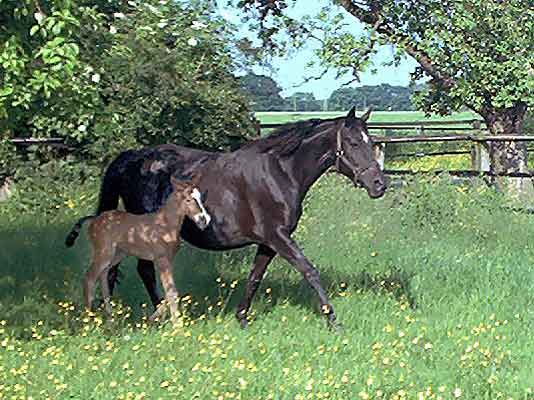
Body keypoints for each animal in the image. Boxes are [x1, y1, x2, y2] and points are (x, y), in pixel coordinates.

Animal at [66, 176, 210, 322]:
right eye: (188, 199)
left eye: (200, 198)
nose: (204, 220)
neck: (165, 224)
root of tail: (94, 220)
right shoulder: (161, 259)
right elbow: (172, 292)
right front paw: (177, 323)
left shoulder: (168, 260)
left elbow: (169, 292)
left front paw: (152, 319)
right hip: (104, 253)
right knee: (89, 278)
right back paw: (90, 318)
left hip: (118, 254)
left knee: (103, 275)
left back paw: (110, 318)